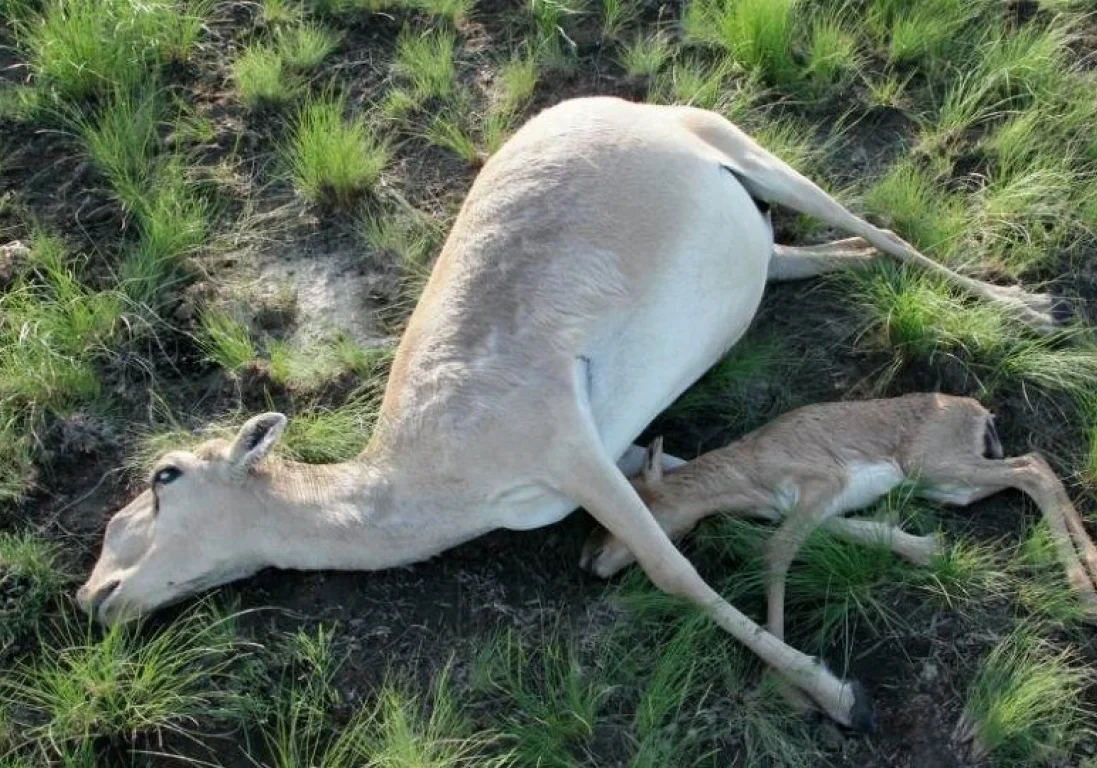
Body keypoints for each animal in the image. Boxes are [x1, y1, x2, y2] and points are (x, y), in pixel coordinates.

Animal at [75, 97, 1061, 732]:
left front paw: (836, 695)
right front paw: (915, 546)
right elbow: (737, 502)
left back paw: (1027, 307)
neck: (426, 469)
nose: (94, 597)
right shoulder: (625, 458)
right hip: (760, 237)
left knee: (880, 229)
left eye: (163, 477)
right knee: (820, 253)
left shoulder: (574, 452)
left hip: (749, 151)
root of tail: (590, 103)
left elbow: (675, 571)